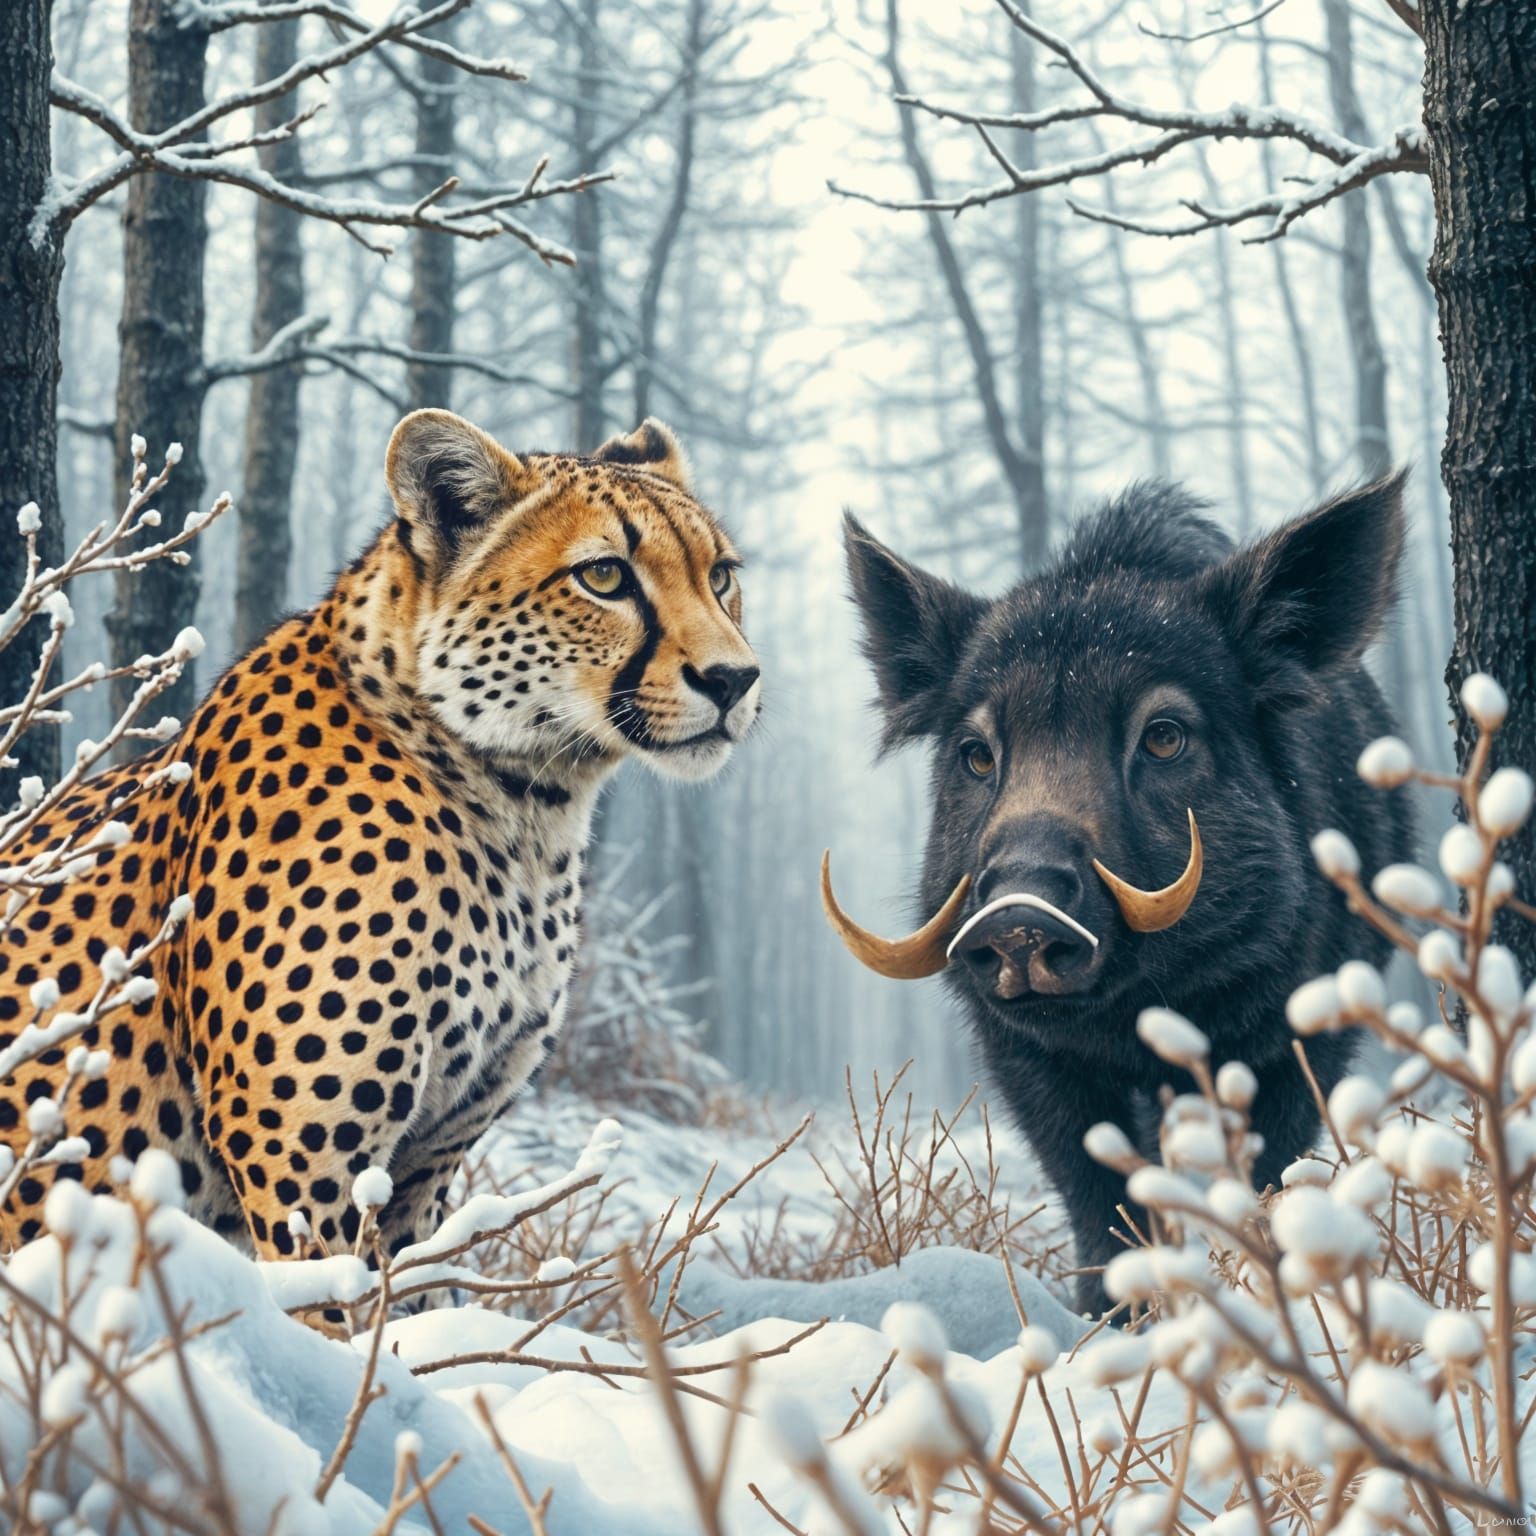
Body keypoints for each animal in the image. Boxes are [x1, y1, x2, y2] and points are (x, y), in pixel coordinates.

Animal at [0, 410, 761, 1259]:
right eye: (604, 577)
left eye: (720, 576)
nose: (735, 680)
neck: (527, 811)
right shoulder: (301, 1161)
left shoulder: (427, 1163)